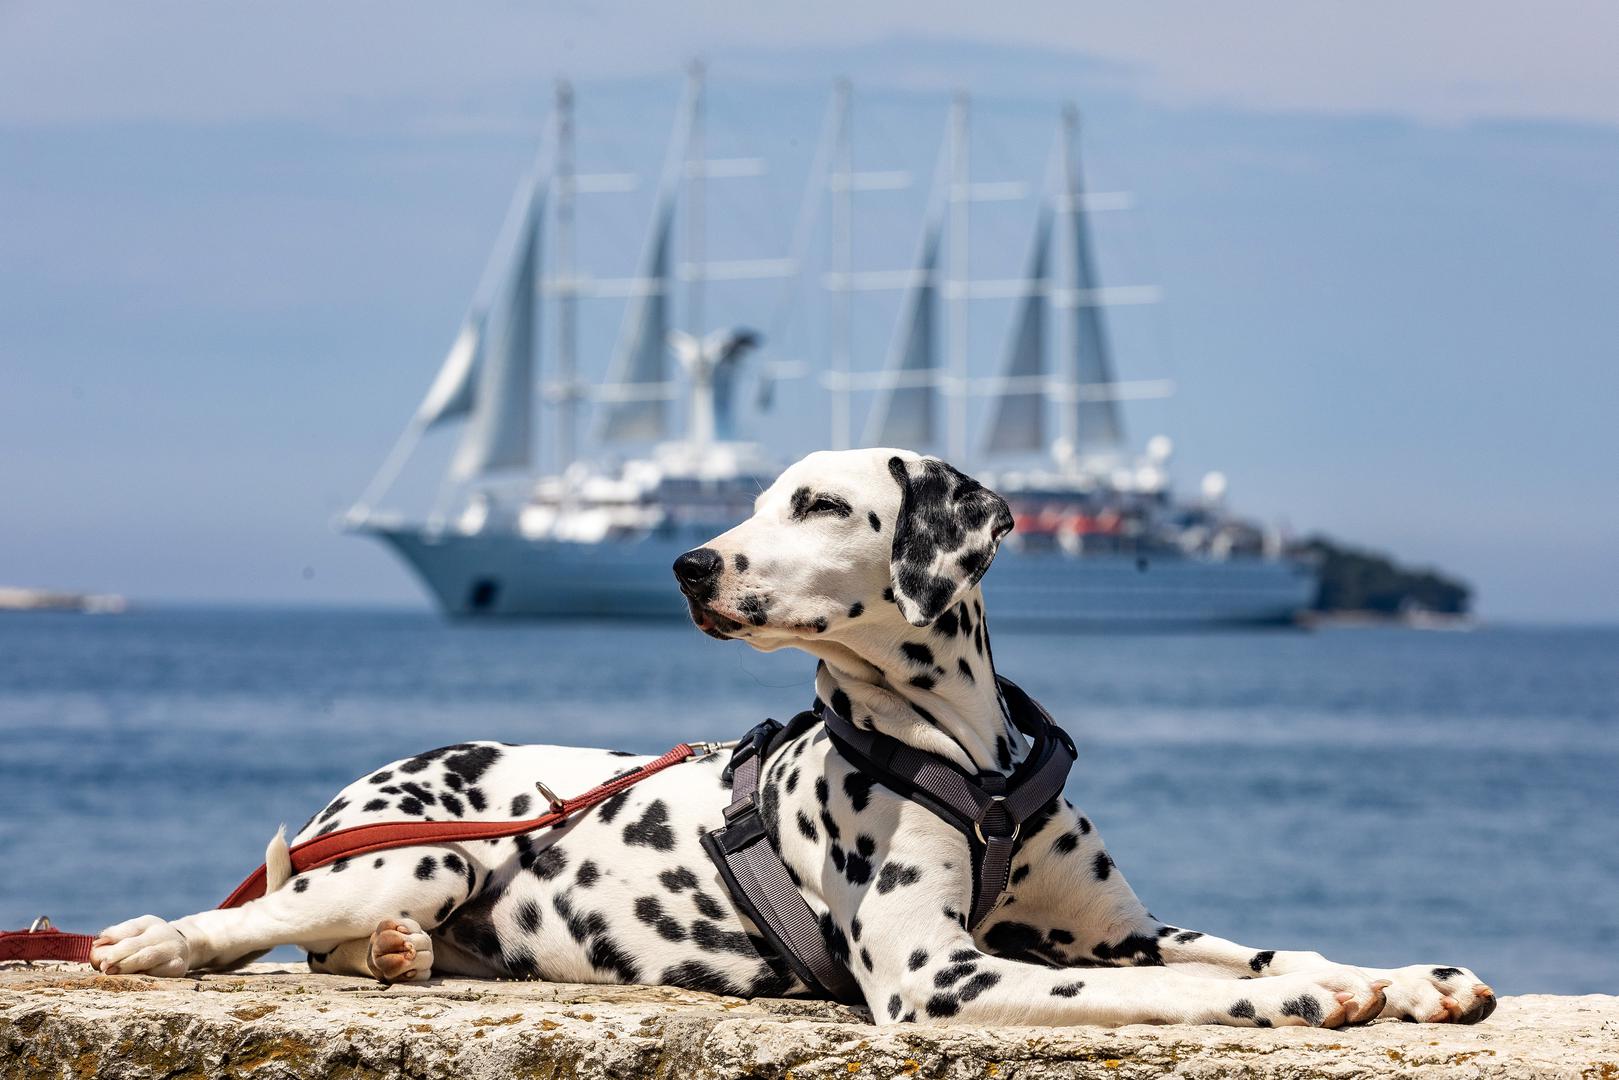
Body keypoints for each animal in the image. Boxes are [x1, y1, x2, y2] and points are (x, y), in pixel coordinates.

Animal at [94, 446, 1495, 1029]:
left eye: (815, 504)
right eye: (752, 499)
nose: (686, 563)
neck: (970, 767)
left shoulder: (1111, 927)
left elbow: (1242, 944)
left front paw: (1398, 975)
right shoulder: (943, 974)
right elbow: (1180, 987)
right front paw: (1305, 996)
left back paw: (396, 956)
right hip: (424, 852)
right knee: (238, 922)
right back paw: (153, 943)